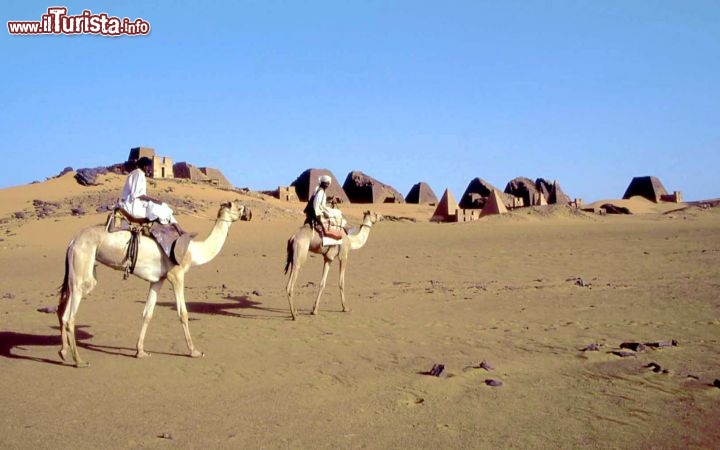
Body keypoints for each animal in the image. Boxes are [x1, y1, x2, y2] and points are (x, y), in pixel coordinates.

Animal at [56, 200, 249, 366]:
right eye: (239, 207)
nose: (249, 213)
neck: (193, 252)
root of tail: (72, 241)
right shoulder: (176, 275)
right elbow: (183, 313)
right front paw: (194, 351)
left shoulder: (158, 280)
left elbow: (147, 313)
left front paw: (140, 351)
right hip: (83, 264)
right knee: (71, 315)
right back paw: (78, 360)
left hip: (76, 270)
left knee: (63, 311)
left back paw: (63, 352)